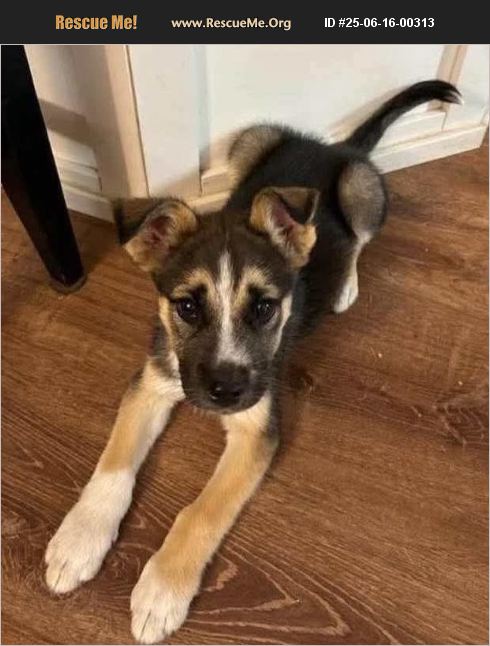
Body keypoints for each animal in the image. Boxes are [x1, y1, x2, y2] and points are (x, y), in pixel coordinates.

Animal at [45, 80, 461, 643]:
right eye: (187, 307)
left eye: (264, 308)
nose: (224, 392)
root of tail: (335, 147)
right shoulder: (151, 383)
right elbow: (113, 465)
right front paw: (80, 538)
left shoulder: (256, 432)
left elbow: (200, 512)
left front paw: (162, 589)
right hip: (249, 142)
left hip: (361, 192)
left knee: (356, 240)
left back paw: (345, 286)